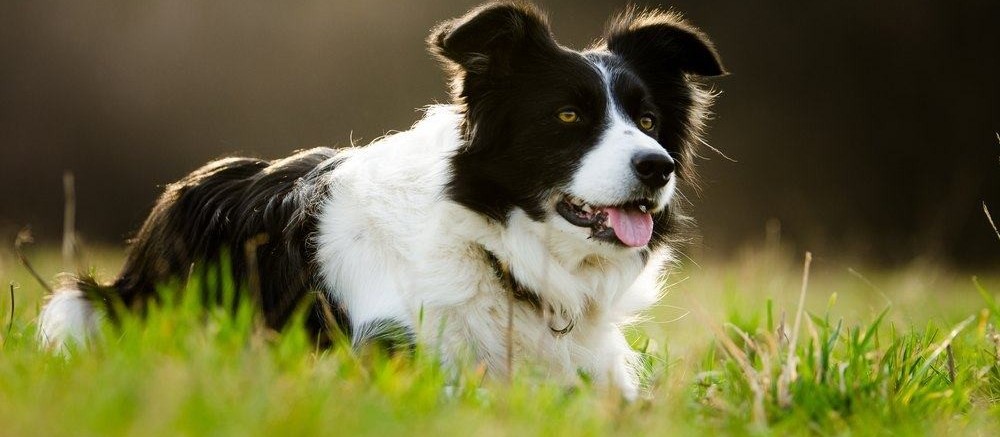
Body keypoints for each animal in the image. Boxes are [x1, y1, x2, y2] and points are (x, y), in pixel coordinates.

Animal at [41, 1, 728, 396]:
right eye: (567, 116)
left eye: (647, 120)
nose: (657, 166)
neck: (495, 250)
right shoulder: (402, 359)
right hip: (92, 308)